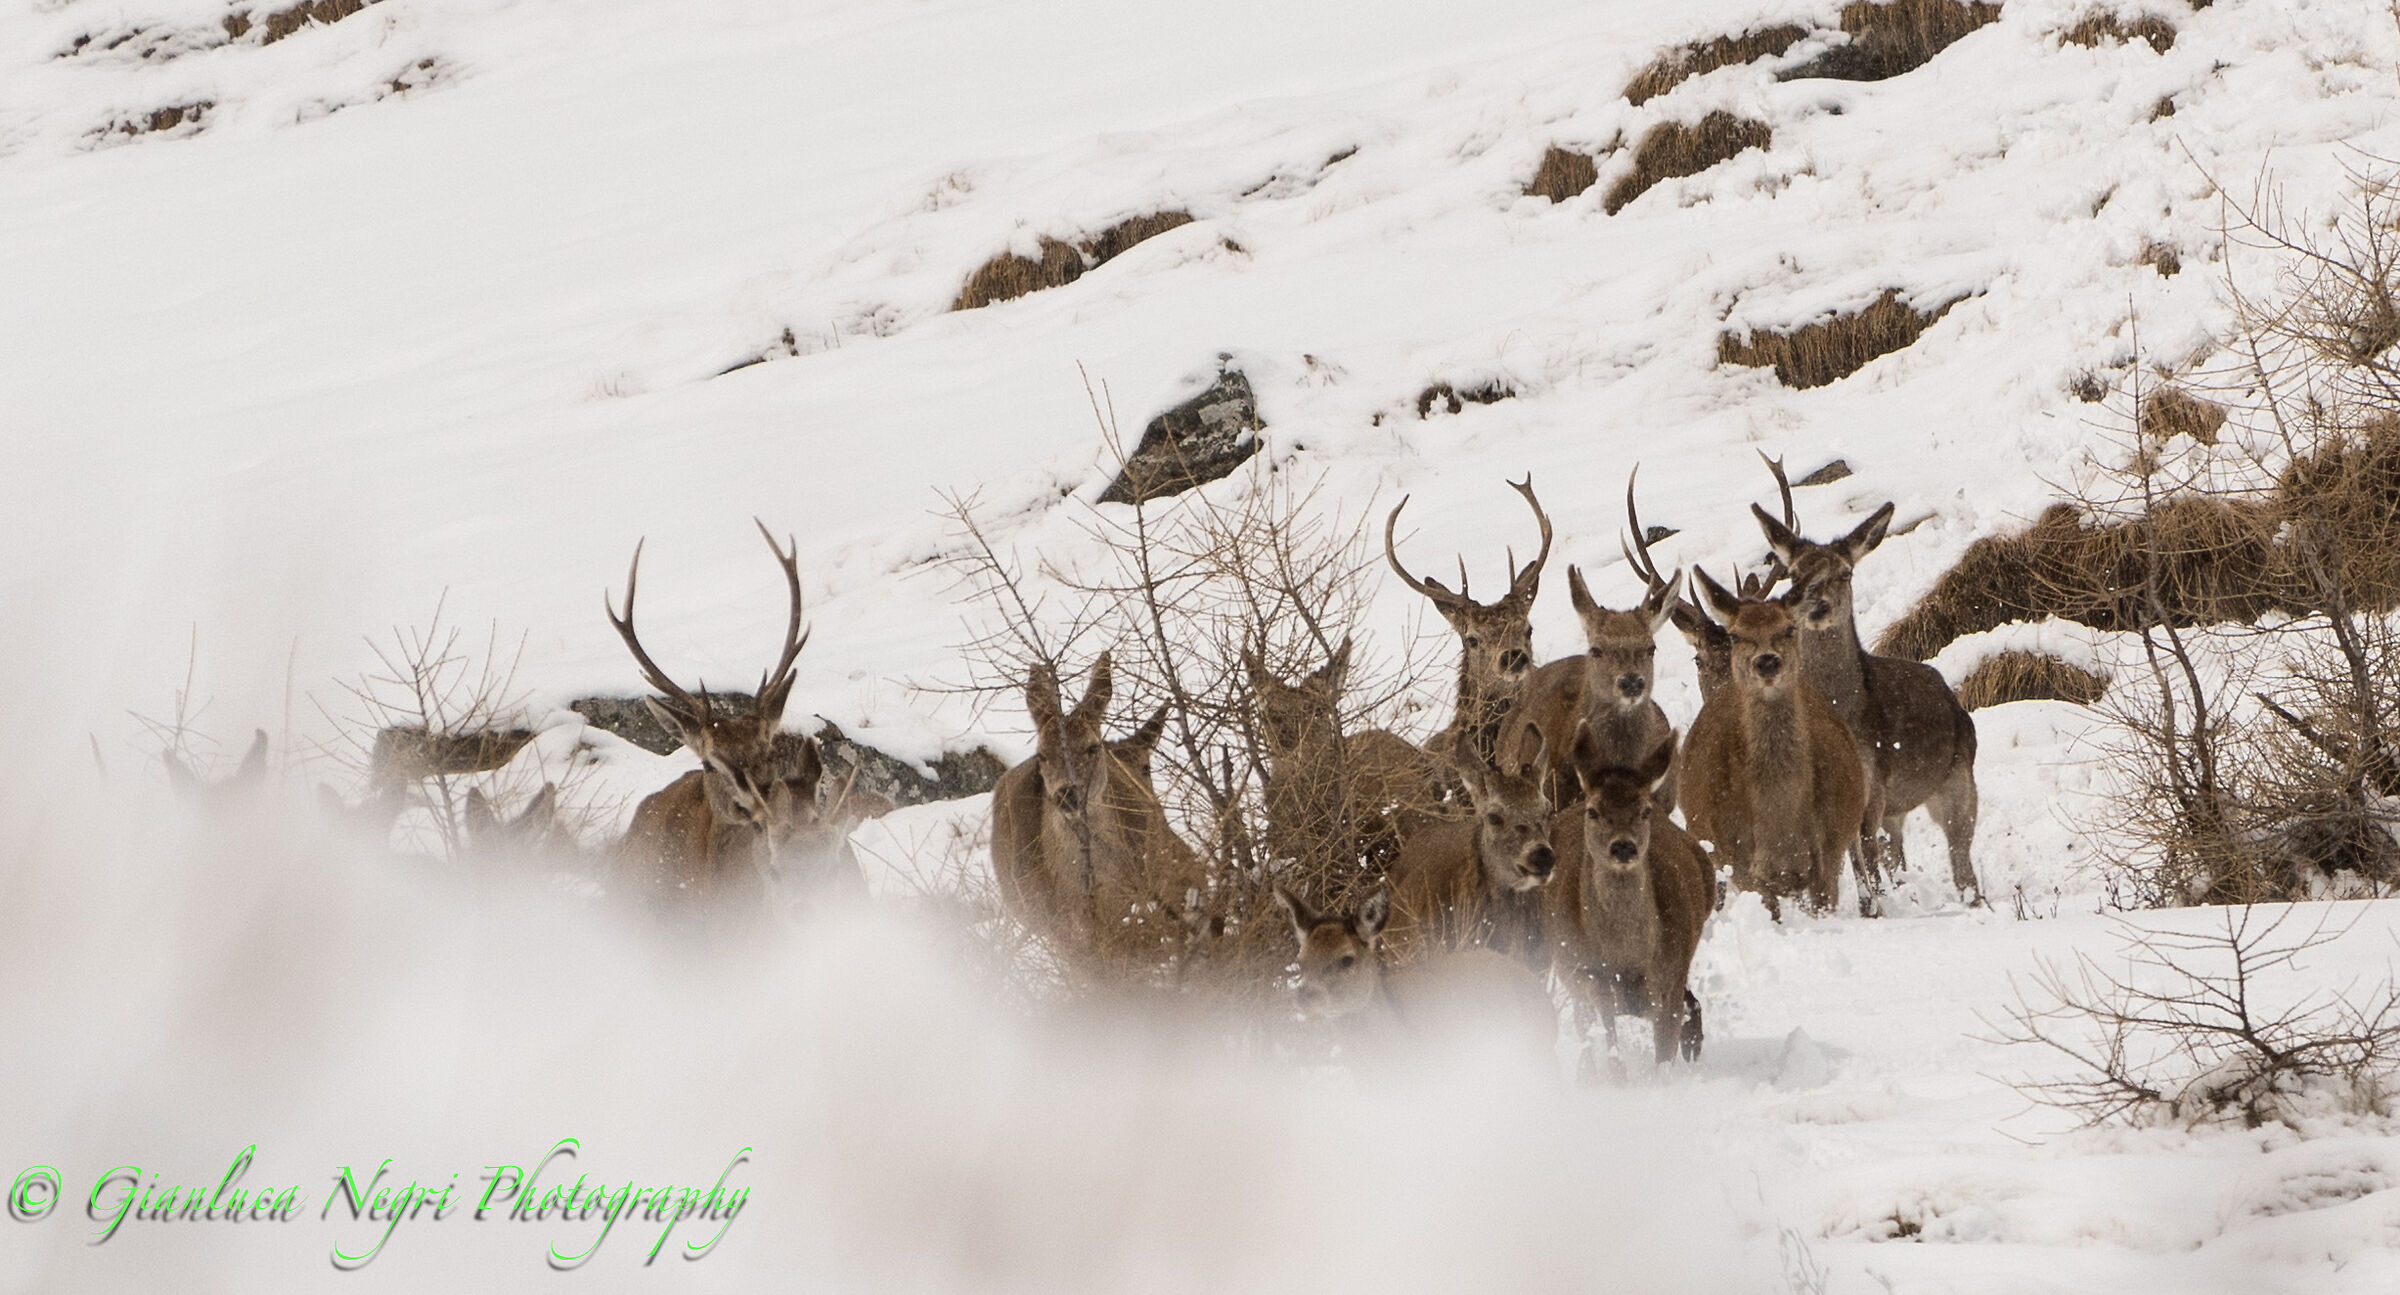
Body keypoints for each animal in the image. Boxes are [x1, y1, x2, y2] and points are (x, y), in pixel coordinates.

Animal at [1546, 728, 1711, 1072]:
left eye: (1643, 811)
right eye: (1594, 811)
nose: (1623, 846)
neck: (1627, 959)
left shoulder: (1669, 975)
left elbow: (1663, 1053)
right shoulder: (1585, 972)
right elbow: (1610, 1048)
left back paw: (1693, 1042)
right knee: (1585, 1027)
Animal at [1751, 493, 1981, 904]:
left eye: (1845, 573)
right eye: (1794, 575)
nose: (1818, 606)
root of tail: (1955, 701)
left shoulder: (1870, 786)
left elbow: (1866, 863)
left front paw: (1875, 906)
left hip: (1959, 784)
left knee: (1962, 868)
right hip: (1897, 810)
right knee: (1898, 858)